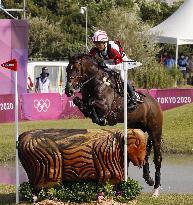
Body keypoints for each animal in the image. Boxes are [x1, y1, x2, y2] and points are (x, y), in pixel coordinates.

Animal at [64, 53, 163, 196]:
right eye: (67, 70)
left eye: (76, 70)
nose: (68, 90)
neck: (96, 82)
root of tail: (155, 103)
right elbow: (80, 102)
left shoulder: (105, 107)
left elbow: (92, 104)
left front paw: (101, 119)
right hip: (136, 129)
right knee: (144, 154)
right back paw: (148, 179)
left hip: (155, 131)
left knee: (158, 158)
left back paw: (155, 190)